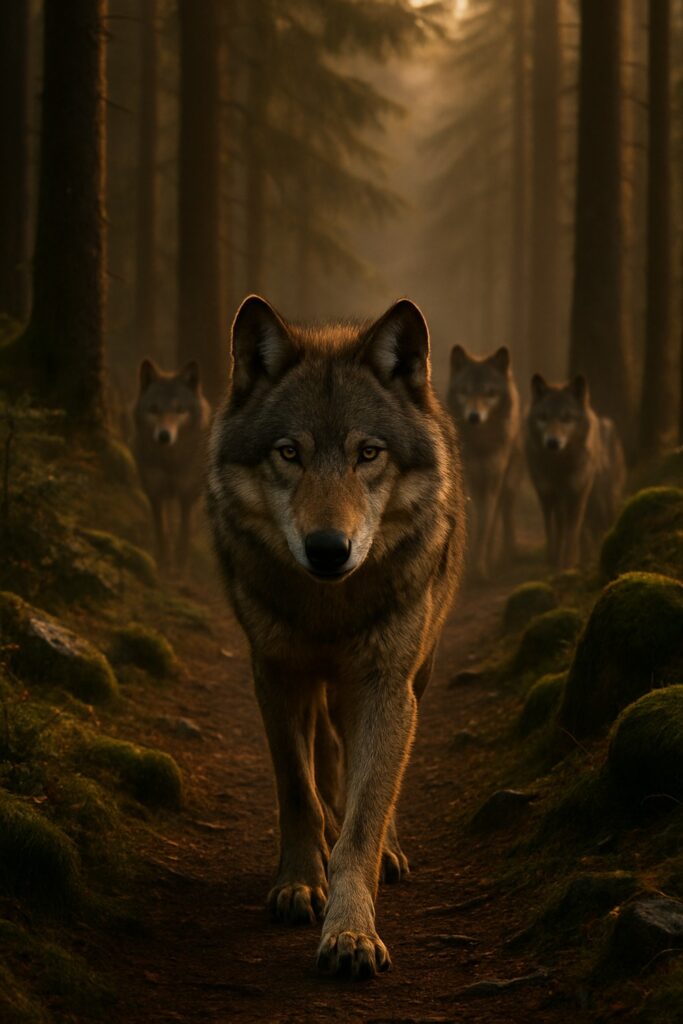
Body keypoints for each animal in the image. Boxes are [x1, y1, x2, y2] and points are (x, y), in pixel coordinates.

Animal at [133, 359, 211, 570]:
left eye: (179, 410)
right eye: (154, 409)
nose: (164, 436)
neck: (170, 462)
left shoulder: (186, 496)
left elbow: (183, 536)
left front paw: (179, 568)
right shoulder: (155, 493)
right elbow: (161, 531)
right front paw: (163, 563)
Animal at [208, 295, 466, 979]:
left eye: (367, 453)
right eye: (289, 453)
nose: (328, 549)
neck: (327, 607)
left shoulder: (384, 683)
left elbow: (367, 814)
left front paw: (351, 932)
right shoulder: (273, 672)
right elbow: (296, 787)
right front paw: (300, 882)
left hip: (416, 673)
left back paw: (387, 850)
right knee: (324, 751)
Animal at [446, 345, 523, 578]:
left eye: (489, 392)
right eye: (465, 391)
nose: (474, 416)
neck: (480, 445)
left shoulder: (492, 481)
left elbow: (486, 524)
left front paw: (481, 566)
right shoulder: (468, 481)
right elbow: (473, 520)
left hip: (508, 483)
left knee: (505, 515)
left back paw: (506, 555)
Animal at [525, 373, 625, 569]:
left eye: (566, 417)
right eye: (543, 417)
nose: (552, 442)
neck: (560, 467)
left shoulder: (576, 494)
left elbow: (572, 534)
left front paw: (568, 564)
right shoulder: (546, 496)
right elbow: (552, 534)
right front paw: (553, 563)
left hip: (603, 499)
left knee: (600, 524)